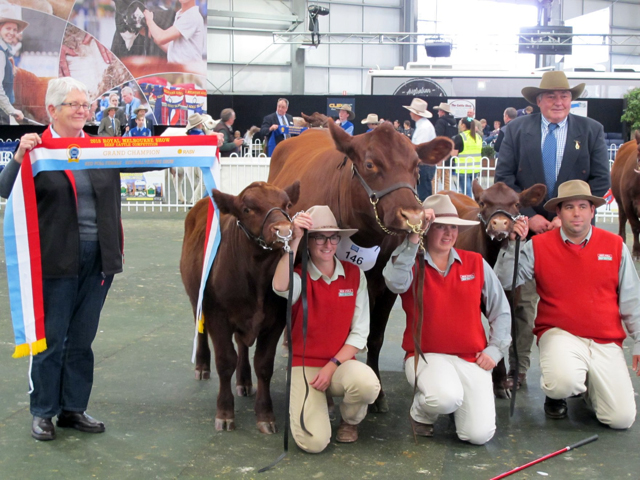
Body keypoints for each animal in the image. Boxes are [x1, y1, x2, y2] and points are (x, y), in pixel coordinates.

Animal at [180, 181, 300, 436]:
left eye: (287, 205)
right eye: (247, 209)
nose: (284, 230)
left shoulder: (275, 320)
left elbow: (263, 364)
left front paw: (265, 415)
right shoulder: (217, 316)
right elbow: (226, 362)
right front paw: (225, 414)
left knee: (242, 345)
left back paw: (244, 381)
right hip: (196, 297)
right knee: (200, 329)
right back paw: (202, 366)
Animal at [268, 119, 452, 408]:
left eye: (416, 166)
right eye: (370, 164)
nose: (413, 216)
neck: (363, 236)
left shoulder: (386, 287)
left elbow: (375, 337)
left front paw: (378, 394)